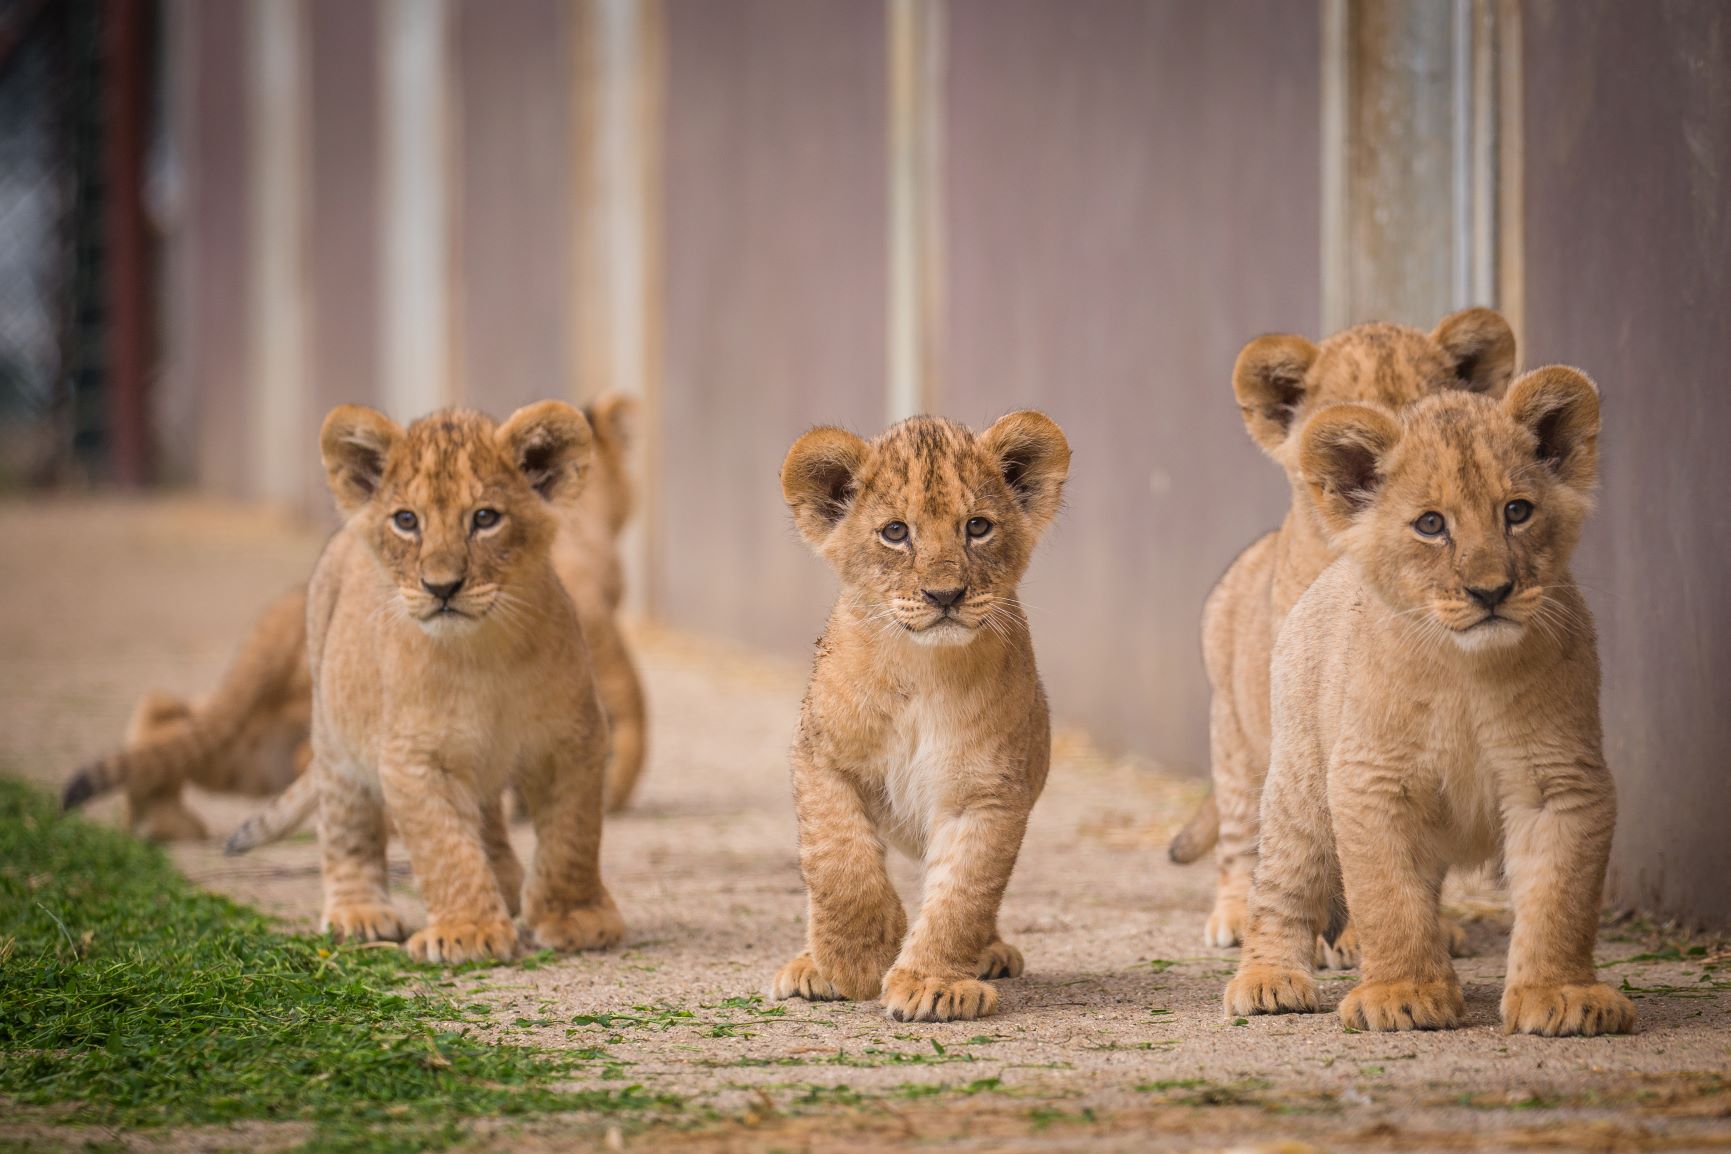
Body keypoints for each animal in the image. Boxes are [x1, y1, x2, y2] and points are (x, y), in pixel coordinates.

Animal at [63, 394, 649, 841]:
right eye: (408, 521)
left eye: (485, 519)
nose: (441, 588)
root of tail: (282, 615)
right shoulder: (597, 633)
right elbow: (635, 708)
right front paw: (615, 791)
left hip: (248, 747)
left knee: (167, 715)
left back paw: (161, 820)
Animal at [308, 401, 624, 963]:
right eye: (406, 521)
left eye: (485, 518)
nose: (442, 587)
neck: (483, 654)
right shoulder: (412, 759)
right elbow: (445, 849)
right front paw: (468, 930)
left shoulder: (576, 739)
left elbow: (573, 834)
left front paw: (575, 918)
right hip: (334, 739)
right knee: (348, 827)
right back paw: (359, 913)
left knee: (489, 818)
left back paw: (507, 883)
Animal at [767, 412, 1070, 1023]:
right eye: (895, 532)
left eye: (977, 527)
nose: (944, 594)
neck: (923, 669)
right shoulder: (818, 759)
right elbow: (838, 861)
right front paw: (858, 958)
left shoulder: (989, 794)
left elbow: (963, 895)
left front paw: (933, 984)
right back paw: (811, 965)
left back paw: (990, 953)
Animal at [1223, 368, 1634, 1037]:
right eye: (1431, 525)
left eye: (1517, 511)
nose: (1491, 591)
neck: (1467, 673)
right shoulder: (1372, 781)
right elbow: (1388, 898)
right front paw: (1403, 993)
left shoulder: (1562, 781)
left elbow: (1561, 899)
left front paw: (1561, 994)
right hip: (1299, 789)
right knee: (1281, 884)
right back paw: (1267, 980)